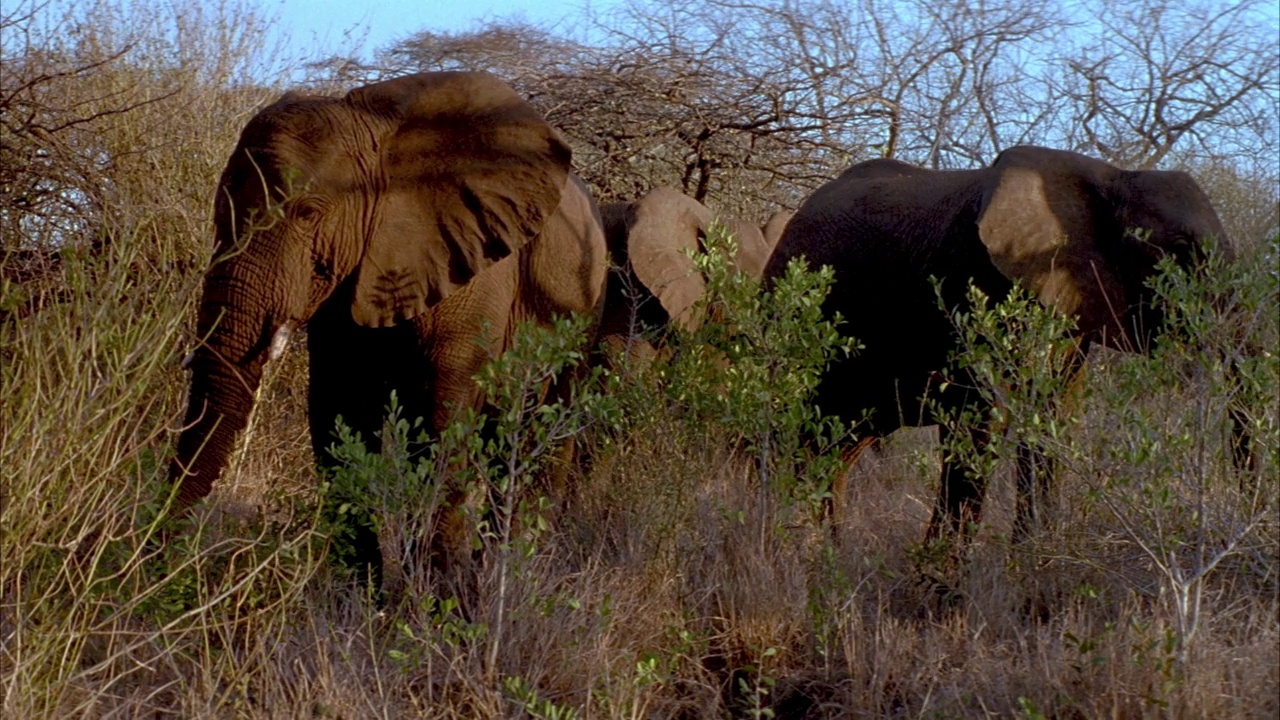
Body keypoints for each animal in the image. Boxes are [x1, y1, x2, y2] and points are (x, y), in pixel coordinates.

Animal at [167, 73, 606, 586]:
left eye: (307, 213)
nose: (158, 557)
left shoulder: (473, 262)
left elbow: (445, 411)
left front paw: (441, 596)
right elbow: (338, 406)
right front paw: (364, 595)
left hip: (583, 310)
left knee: (545, 431)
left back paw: (514, 574)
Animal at [762, 144, 1233, 538]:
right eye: (1178, 248)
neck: (1109, 177)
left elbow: (1053, 412)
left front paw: (1031, 560)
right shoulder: (975, 288)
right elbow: (983, 416)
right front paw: (942, 583)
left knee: (836, 448)